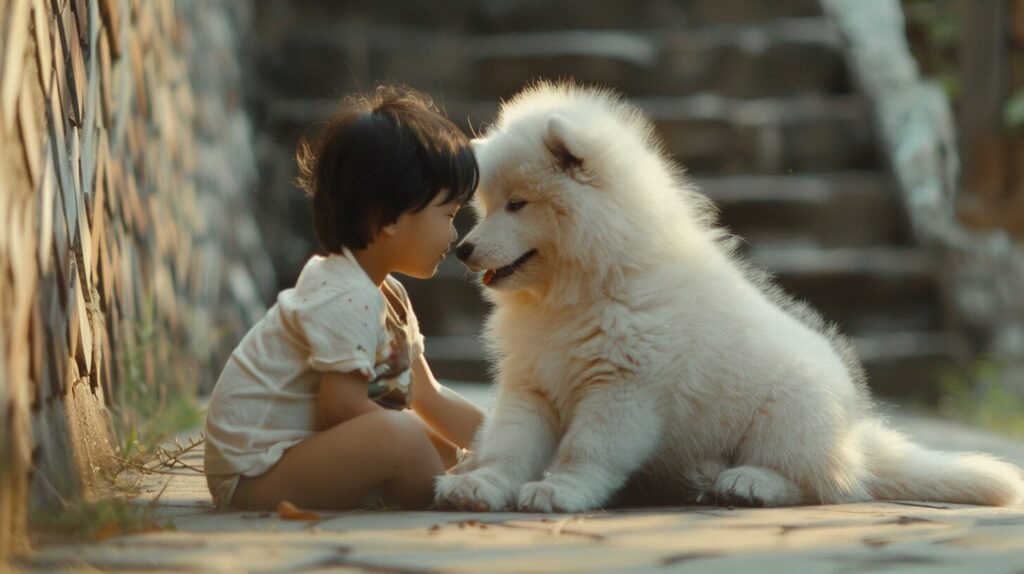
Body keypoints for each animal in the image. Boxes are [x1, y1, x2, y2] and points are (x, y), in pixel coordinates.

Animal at [432, 81, 1024, 509]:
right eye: (485, 205)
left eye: (518, 205)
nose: (463, 249)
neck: (584, 287)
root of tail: (853, 435)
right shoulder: (531, 381)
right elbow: (509, 442)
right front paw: (481, 485)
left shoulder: (623, 388)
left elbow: (586, 446)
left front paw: (561, 491)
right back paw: (706, 474)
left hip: (789, 412)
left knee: (818, 483)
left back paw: (749, 483)